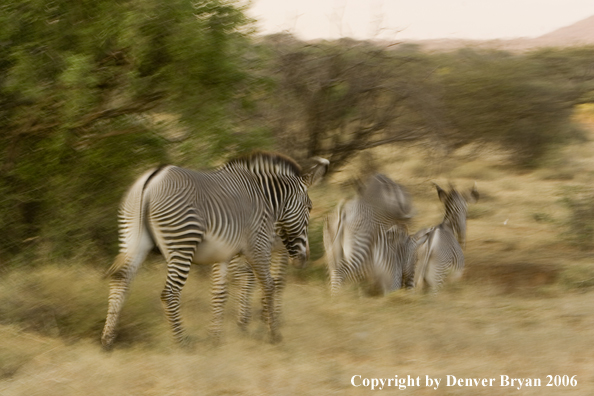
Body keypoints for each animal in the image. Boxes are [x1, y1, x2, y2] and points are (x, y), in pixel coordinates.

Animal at [99, 152, 326, 346]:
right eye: (310, 207)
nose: (303, 259)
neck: (266, 199)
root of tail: (153, 177)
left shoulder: (224, 254)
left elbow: (220, 293)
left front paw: (215, 337)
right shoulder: (258, 246)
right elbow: (268, 285)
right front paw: (273, 334)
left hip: (132, 236)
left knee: (121, 280)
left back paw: (107, 340)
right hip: (182, 243)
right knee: (169, 293)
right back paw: (182, 342)